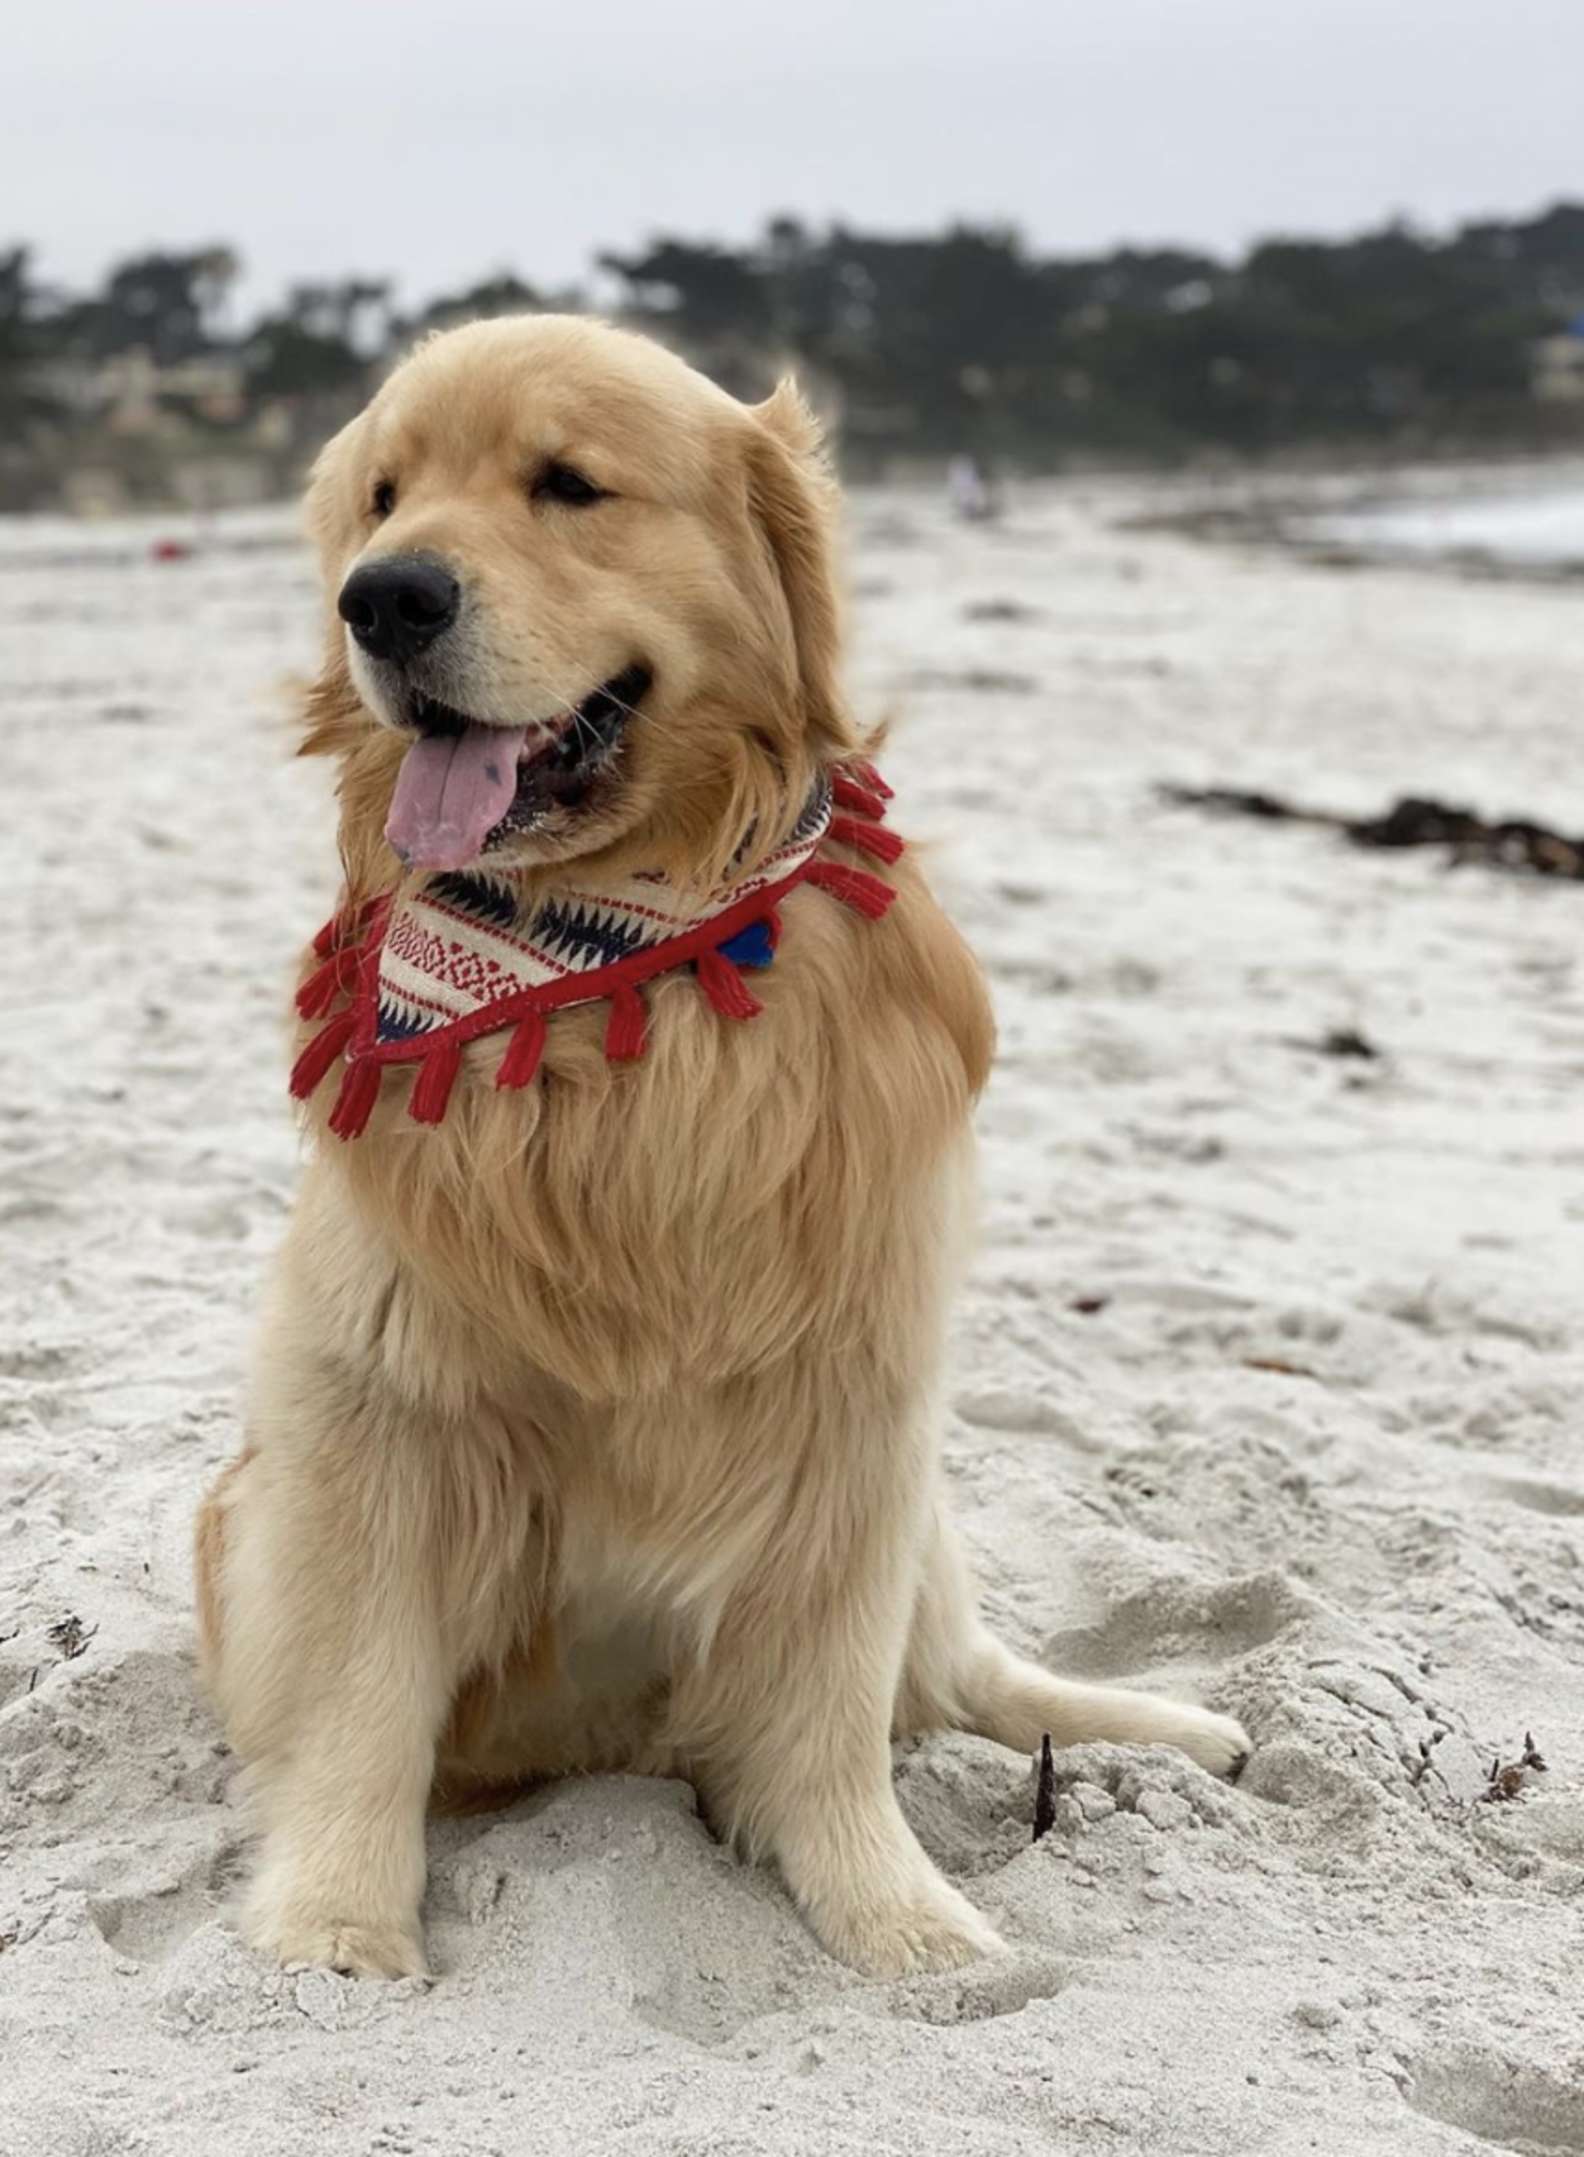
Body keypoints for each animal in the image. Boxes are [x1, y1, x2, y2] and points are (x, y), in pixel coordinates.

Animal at [192, 312, 1251, 1975]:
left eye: (569, 484)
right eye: (381, 498)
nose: (384, 597)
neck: (616, 967)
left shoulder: (859, 1401)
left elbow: (828, 1718)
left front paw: (898, 1924)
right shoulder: (378, 1401)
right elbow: (361, 1695)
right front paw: (334, 1934)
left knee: (961, 1675)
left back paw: (1170, 1728)